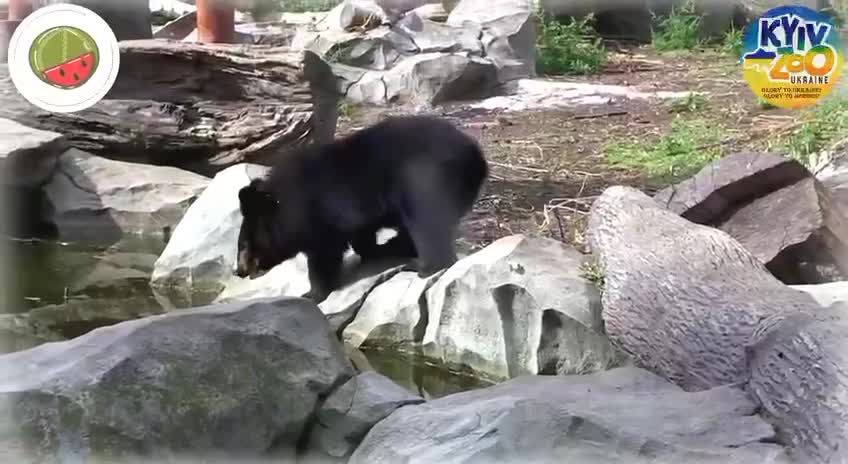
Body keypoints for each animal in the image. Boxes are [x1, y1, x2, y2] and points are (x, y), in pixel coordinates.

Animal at [235, 115, 486, 302]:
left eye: (244, 245)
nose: (239, 271)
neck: (286, 206)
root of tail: (476, 155)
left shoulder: (319, 212)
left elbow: (324, 254)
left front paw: (311, 294)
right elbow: (361, 237)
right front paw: (376, 250)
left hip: (424, 178)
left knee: (426, 223)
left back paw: (422, 266)